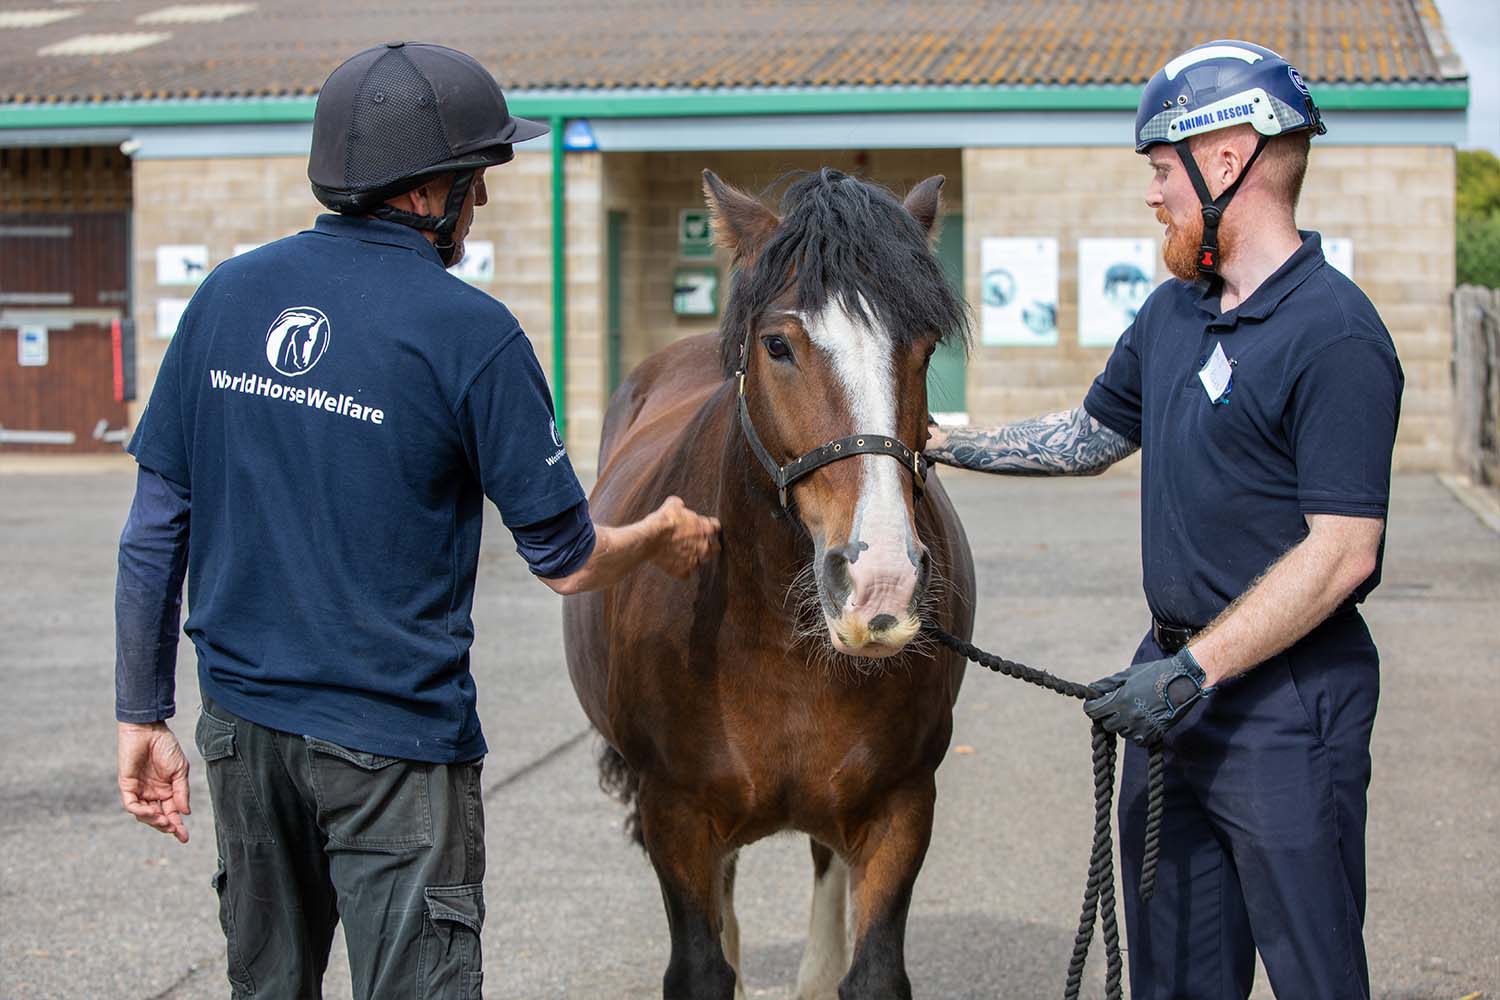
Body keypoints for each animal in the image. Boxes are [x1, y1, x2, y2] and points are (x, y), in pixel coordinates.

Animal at [564, 167, 972, 995]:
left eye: (923, 347)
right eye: (778, 344)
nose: (880, 582)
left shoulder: (902, 805)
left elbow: (869, 968)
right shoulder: (675, 813)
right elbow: (703, 963)